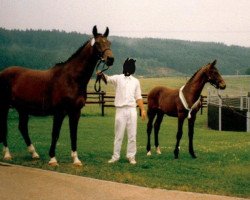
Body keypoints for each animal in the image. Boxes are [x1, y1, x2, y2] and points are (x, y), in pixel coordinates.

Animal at [0, 25, 114, 166]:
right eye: (97, 43)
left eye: (109, 43)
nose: (110, 59)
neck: (71, 79)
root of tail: (2, 73)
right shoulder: (59, 112)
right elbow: (55, 133)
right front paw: (53, 159)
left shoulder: (75, 112)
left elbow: (73, 134)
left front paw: (76, 159)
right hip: (4, 106)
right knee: (5, 128)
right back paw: (7, 154)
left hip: (23, 109)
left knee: (22, 128)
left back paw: (34, 154)